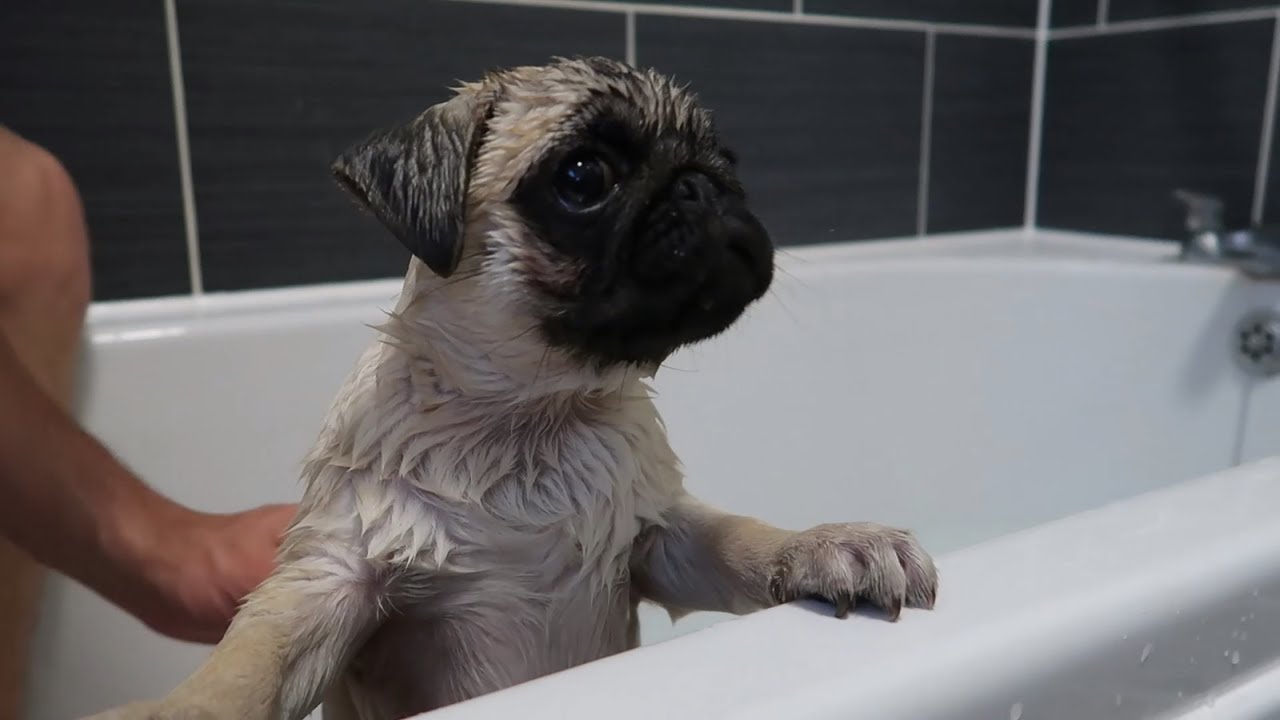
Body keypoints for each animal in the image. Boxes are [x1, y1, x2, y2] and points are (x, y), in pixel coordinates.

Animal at [87, 54, 931, 717]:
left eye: (725, 155)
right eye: (584, 177)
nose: (702, 185)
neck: (529, 418)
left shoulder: (658, 537)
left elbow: (739, 539)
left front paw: (827, 544)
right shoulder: (332, 582)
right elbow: (249, 663)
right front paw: (180, 712)